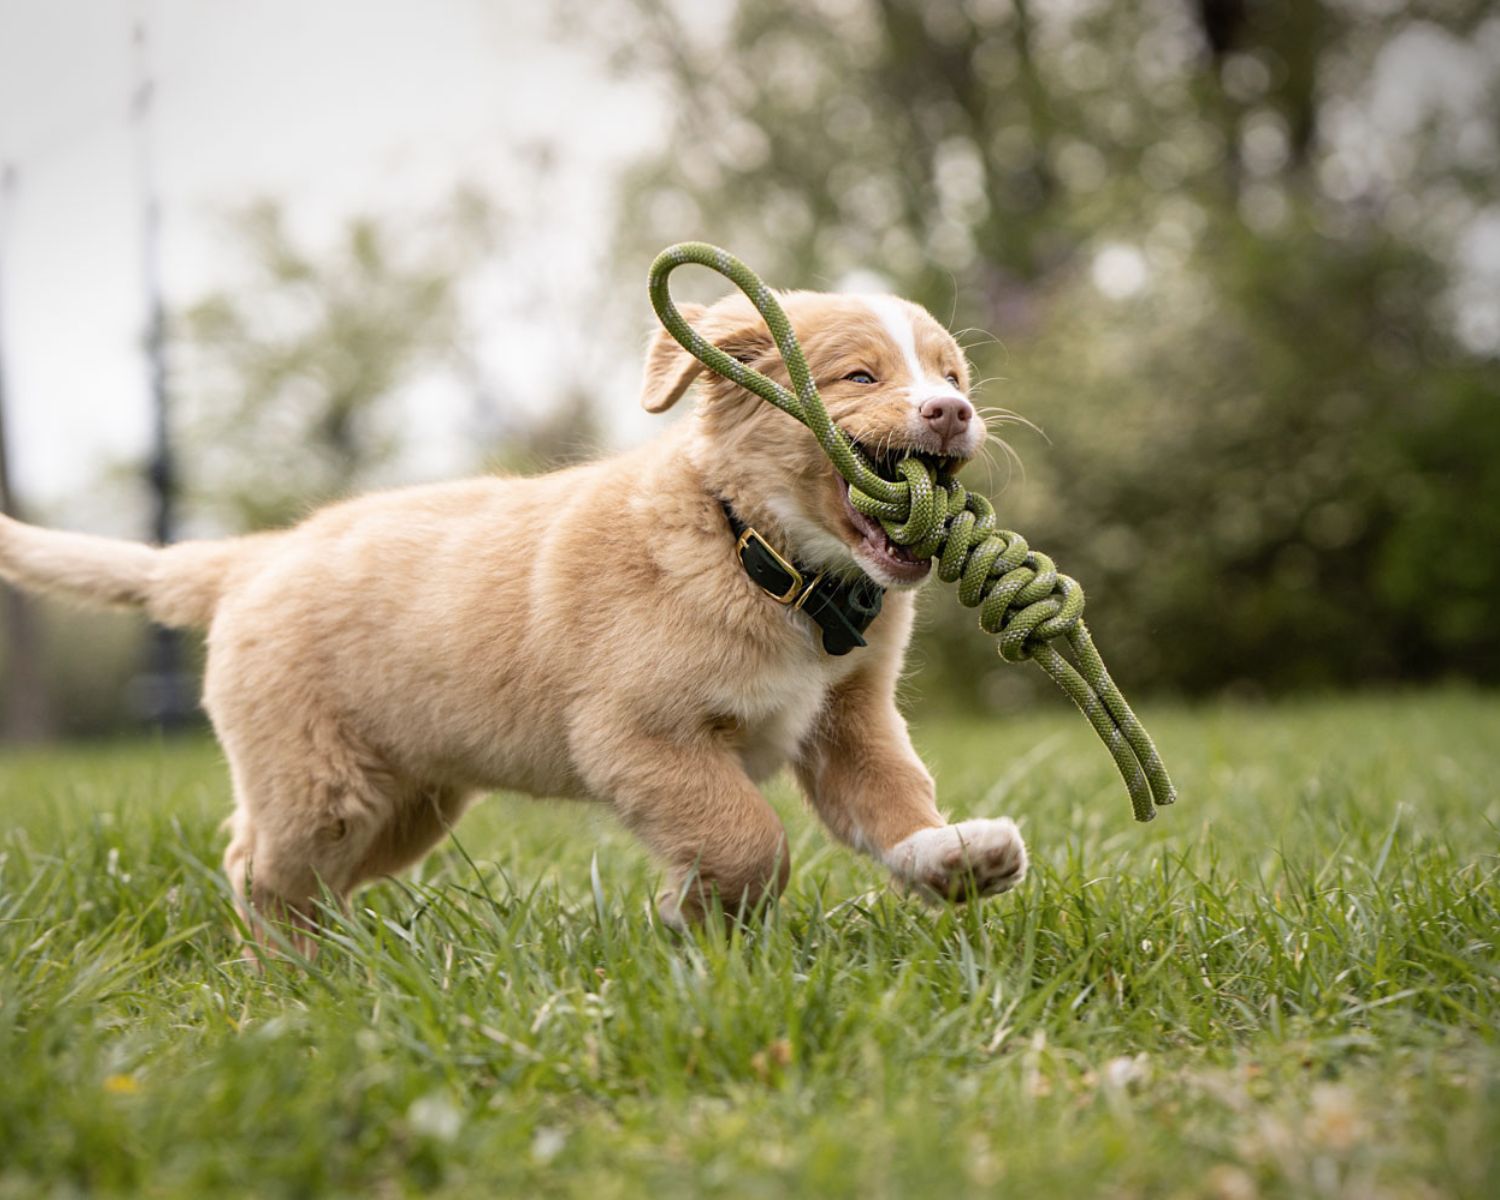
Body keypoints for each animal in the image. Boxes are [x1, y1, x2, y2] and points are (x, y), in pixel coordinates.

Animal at [0, 288, 1026, 936]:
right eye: (858, 378)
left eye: (953, 375)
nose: (952, 412)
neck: (762, 557)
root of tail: (257, 554)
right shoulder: (637, 736)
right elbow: (748, 842)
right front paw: (693, 919)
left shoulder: (850, 724)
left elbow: (893, 803)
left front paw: (953, 859)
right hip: (318, 788)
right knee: (256, 871)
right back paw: (290, 985)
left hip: (410, 802)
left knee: (316, 885)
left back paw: (344, 970)